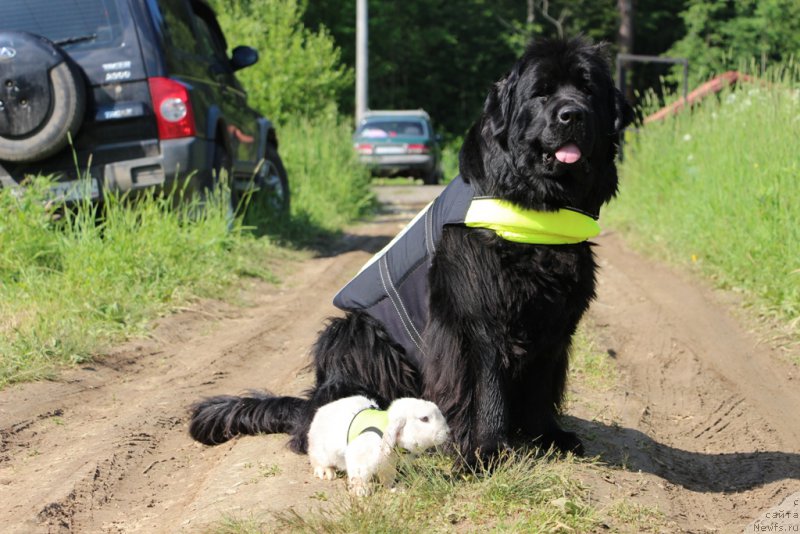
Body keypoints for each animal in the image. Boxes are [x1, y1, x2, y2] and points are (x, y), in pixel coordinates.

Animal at [191, 37, 636, 464]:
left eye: (587, 90)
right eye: (540, 93)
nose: (572, 115)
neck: (535, 211)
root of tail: (309, 405)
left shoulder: (555, 317)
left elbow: (543, 385)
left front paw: (548, 437)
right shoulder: (478, 316)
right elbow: (487, 390)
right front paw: (486, 451)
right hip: (359, 334)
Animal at [306, 398, 450, 498]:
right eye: (424, 419)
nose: (447, 432)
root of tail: (319, 412)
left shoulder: (388, 465)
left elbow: (388, 478)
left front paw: (393, 489)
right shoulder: (361, 457)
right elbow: (359, 476)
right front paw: (362, 491)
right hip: (321, 452)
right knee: (318, 462)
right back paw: (327, 473)